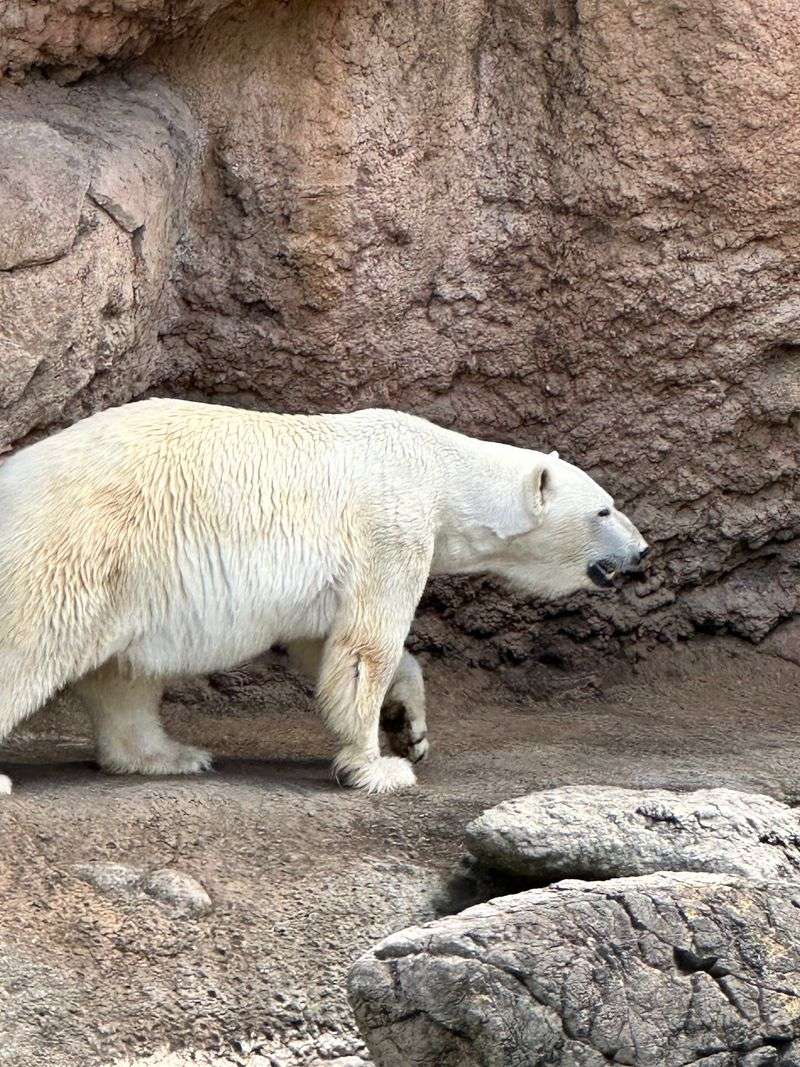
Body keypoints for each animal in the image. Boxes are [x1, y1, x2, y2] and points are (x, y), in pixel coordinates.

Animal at [0, 399, 648, 795]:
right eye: (604, 509)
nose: (642, 551)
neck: (438, 471)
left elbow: (325, 645)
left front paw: (409, 727)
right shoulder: (391, 529)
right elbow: (365, 649)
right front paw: (379, 767)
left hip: (133, 579)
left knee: (126, 673)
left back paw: (169, 755)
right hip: (86, 542)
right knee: (33, 643)